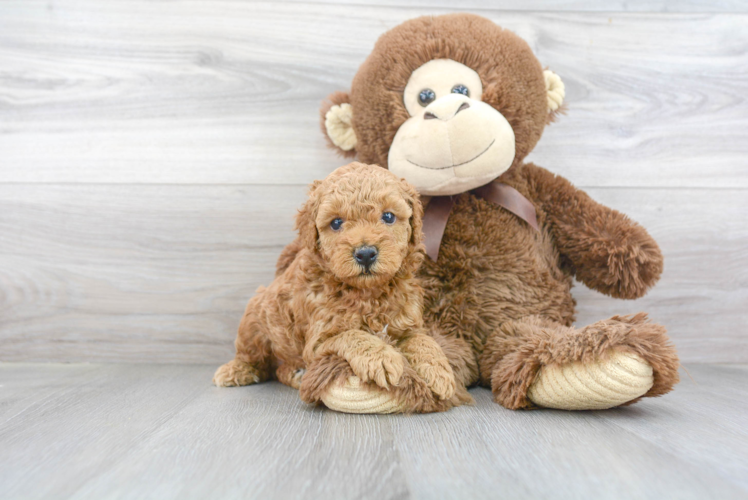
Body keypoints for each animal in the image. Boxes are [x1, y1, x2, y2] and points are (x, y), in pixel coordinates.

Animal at [212, 162, 462, 412]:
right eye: (336, 223)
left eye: (388, 216)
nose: (365, 254)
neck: (368, 293)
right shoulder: (319, 340)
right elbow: (352, 335)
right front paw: (382, 358)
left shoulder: (409, 324)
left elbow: (423, 340)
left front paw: (439, 371)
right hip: (254, 319)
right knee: (254, 356)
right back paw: (237, 370)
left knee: (280, 369)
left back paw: (296, 374)